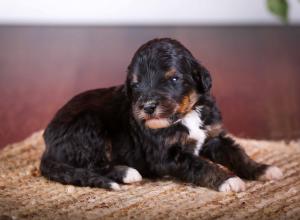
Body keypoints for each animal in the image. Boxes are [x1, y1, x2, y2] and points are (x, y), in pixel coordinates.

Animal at [40, 38, 284, 192]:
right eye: (135, 84)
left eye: (173, 78)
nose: (148, 106)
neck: (186, 115)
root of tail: (47, 146)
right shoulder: (165, 155)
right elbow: (199, 164)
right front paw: (228, 180)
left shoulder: (213, 135)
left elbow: (237, 153)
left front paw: (262, 169)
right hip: (88, 126)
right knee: (91, 164)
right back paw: (126, 172)